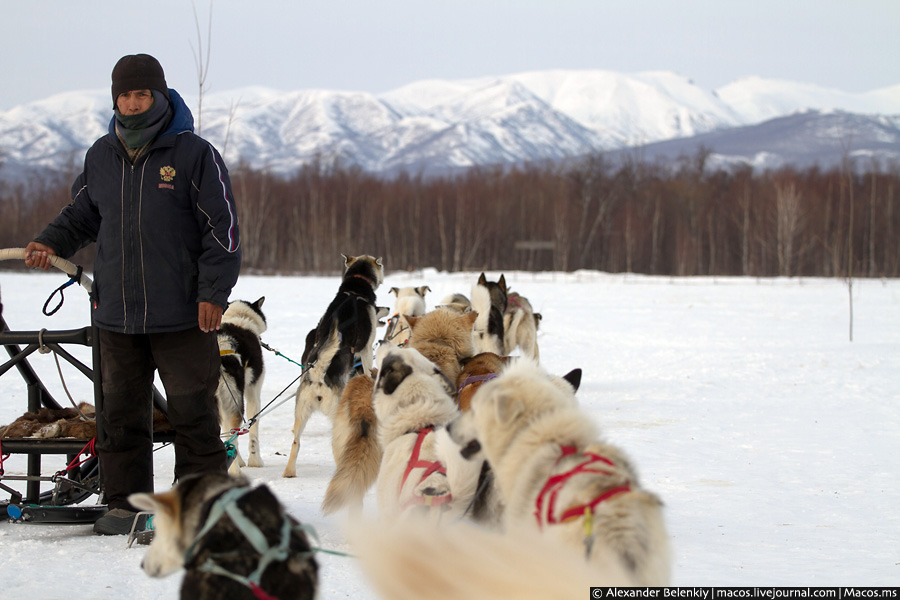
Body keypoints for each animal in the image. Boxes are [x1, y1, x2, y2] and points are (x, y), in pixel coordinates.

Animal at [217, 296, 268, 474]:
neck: (238, 317)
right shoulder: (253, 393)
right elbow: (253, 431)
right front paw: (255, 461)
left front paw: (239, 460)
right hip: (236, 402)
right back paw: (235, 472)